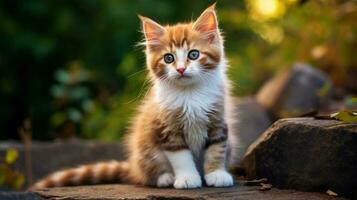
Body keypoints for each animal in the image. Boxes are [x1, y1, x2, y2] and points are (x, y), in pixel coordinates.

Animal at [32, 3, 234, 190]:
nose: (181, 69)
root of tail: (133, 168)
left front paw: (217, 174)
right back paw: (165, 178)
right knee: (147, 174)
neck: (190, 94)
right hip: (146, 151)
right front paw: (187, 178)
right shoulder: (166, 128)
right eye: (168, 58)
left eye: (193, 54)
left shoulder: (218, 120)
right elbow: (180, 156)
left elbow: (217, 149)